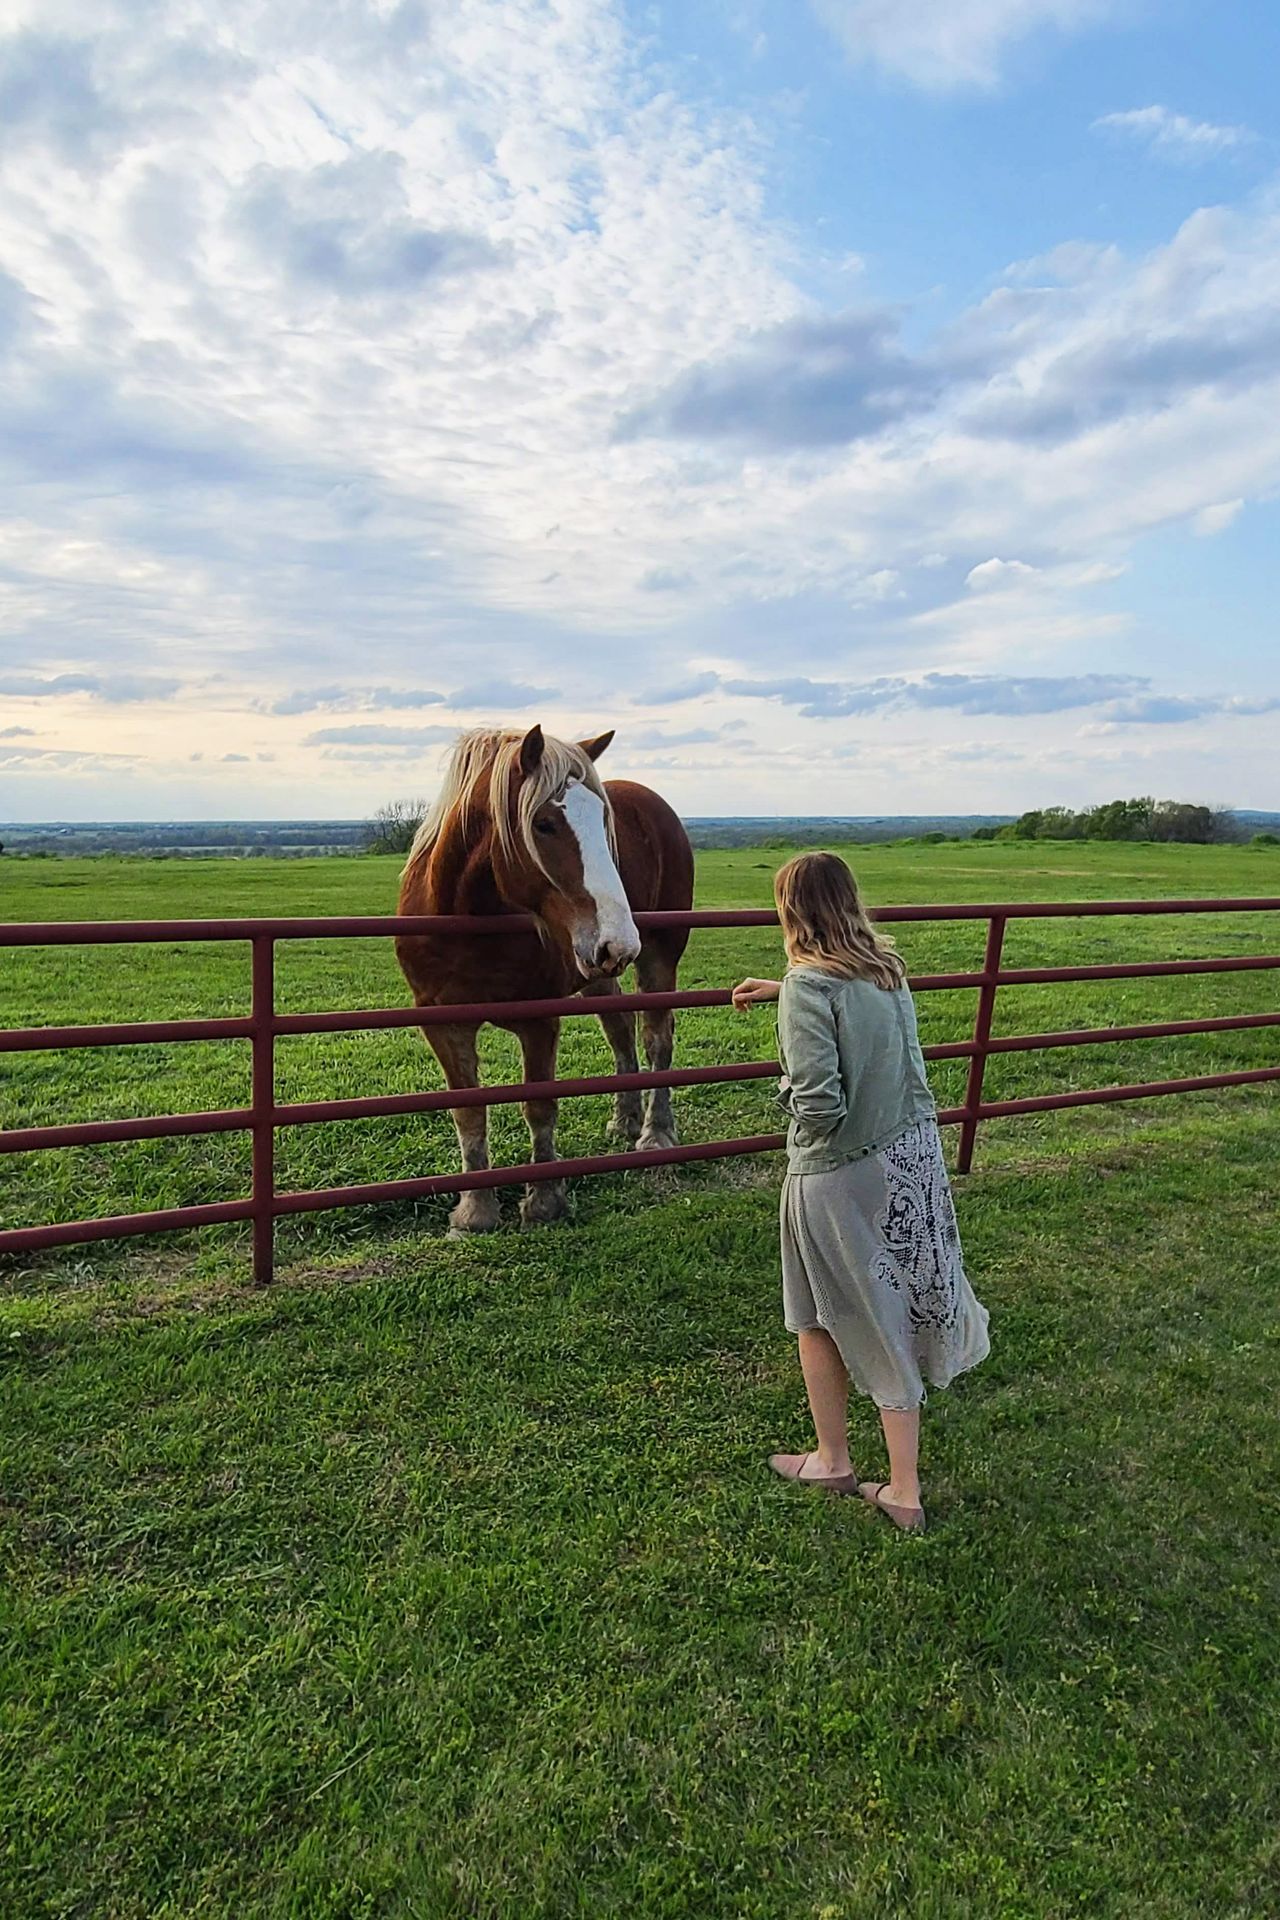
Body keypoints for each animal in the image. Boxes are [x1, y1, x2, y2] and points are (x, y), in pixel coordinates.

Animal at [395, 724, 695, 1233]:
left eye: (603, 822)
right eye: (544, 824)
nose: (619, 942)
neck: (466, 916)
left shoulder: (538, 1021)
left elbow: (539, 1106)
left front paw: (545, 1200)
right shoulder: (443, 1023)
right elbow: (468, 1111)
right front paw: (475, 1210)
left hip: (657, 955)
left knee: (657, 1039)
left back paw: (655, 1134)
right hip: (597, 972)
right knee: (621, 1032)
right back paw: (626, 1119)